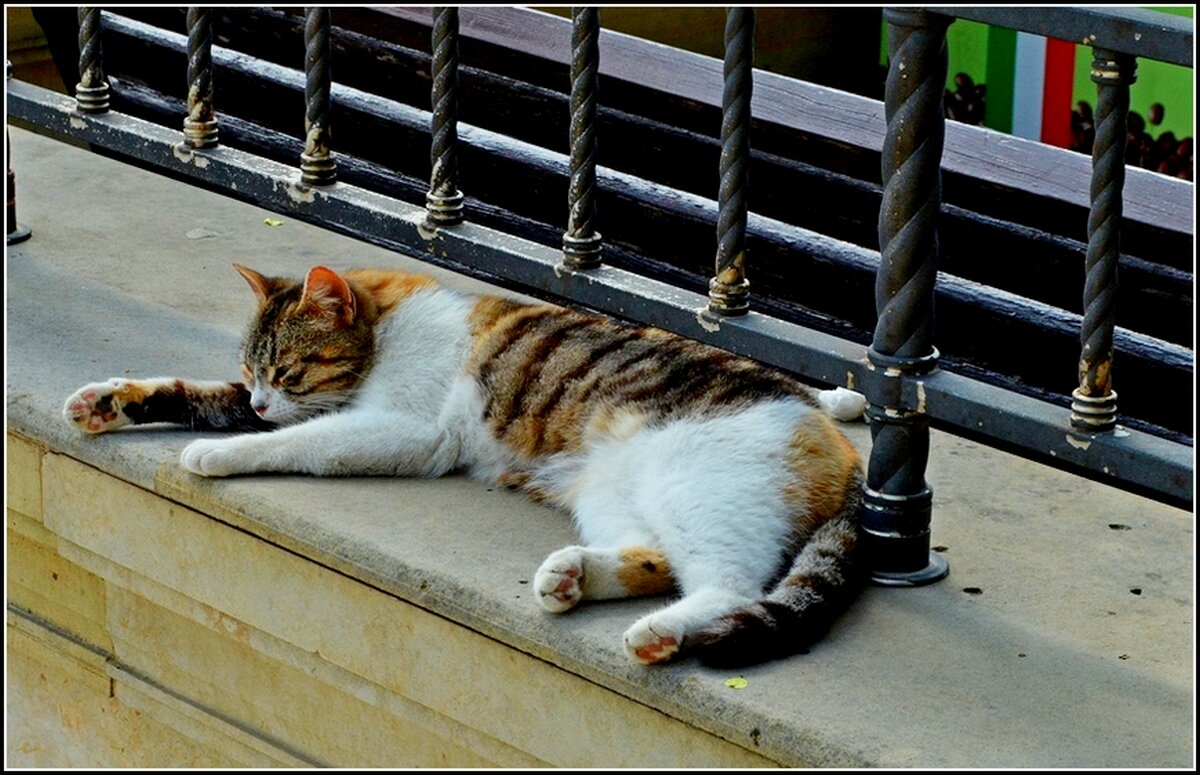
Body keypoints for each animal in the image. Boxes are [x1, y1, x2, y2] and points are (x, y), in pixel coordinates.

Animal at [65, 263, 868, 667]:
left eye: (288, 369)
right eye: (250, 370)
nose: (263, 400)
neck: (388, 331)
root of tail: (836, 438)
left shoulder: (406, 429)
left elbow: (304, 441)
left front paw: (223, 450)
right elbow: (204, 396)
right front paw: (111, 401)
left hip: (696, 484)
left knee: (728, 584)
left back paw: (661, 633)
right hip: (611, 489)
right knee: (654, 558)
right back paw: (570, 577)